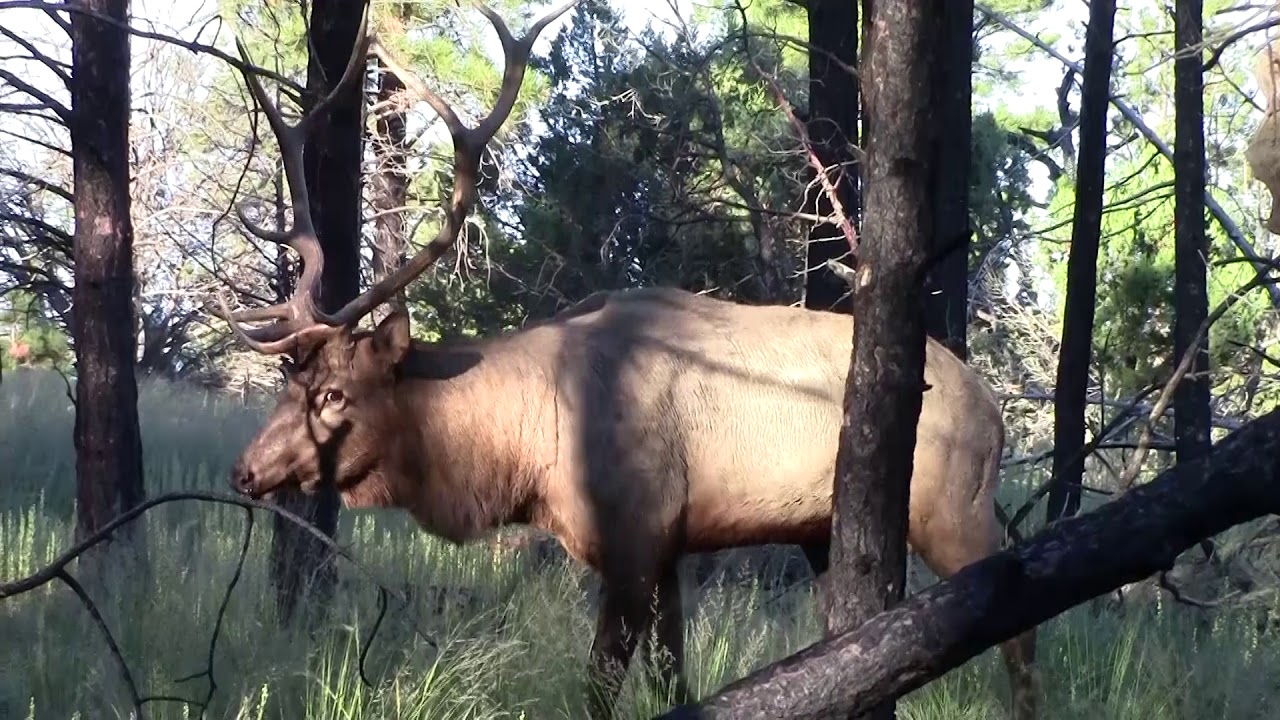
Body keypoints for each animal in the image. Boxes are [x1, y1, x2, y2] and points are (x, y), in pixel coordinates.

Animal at [213, 2, 1038, 718]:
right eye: (291, 381)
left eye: (334, 394)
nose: (244, 470)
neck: (526, 455)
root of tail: (994, 409)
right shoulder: (669, 546)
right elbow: (674, 675)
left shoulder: (635, 537)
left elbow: (601, 685)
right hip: (829, 536)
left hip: (952, 508)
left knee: (1019, 626)